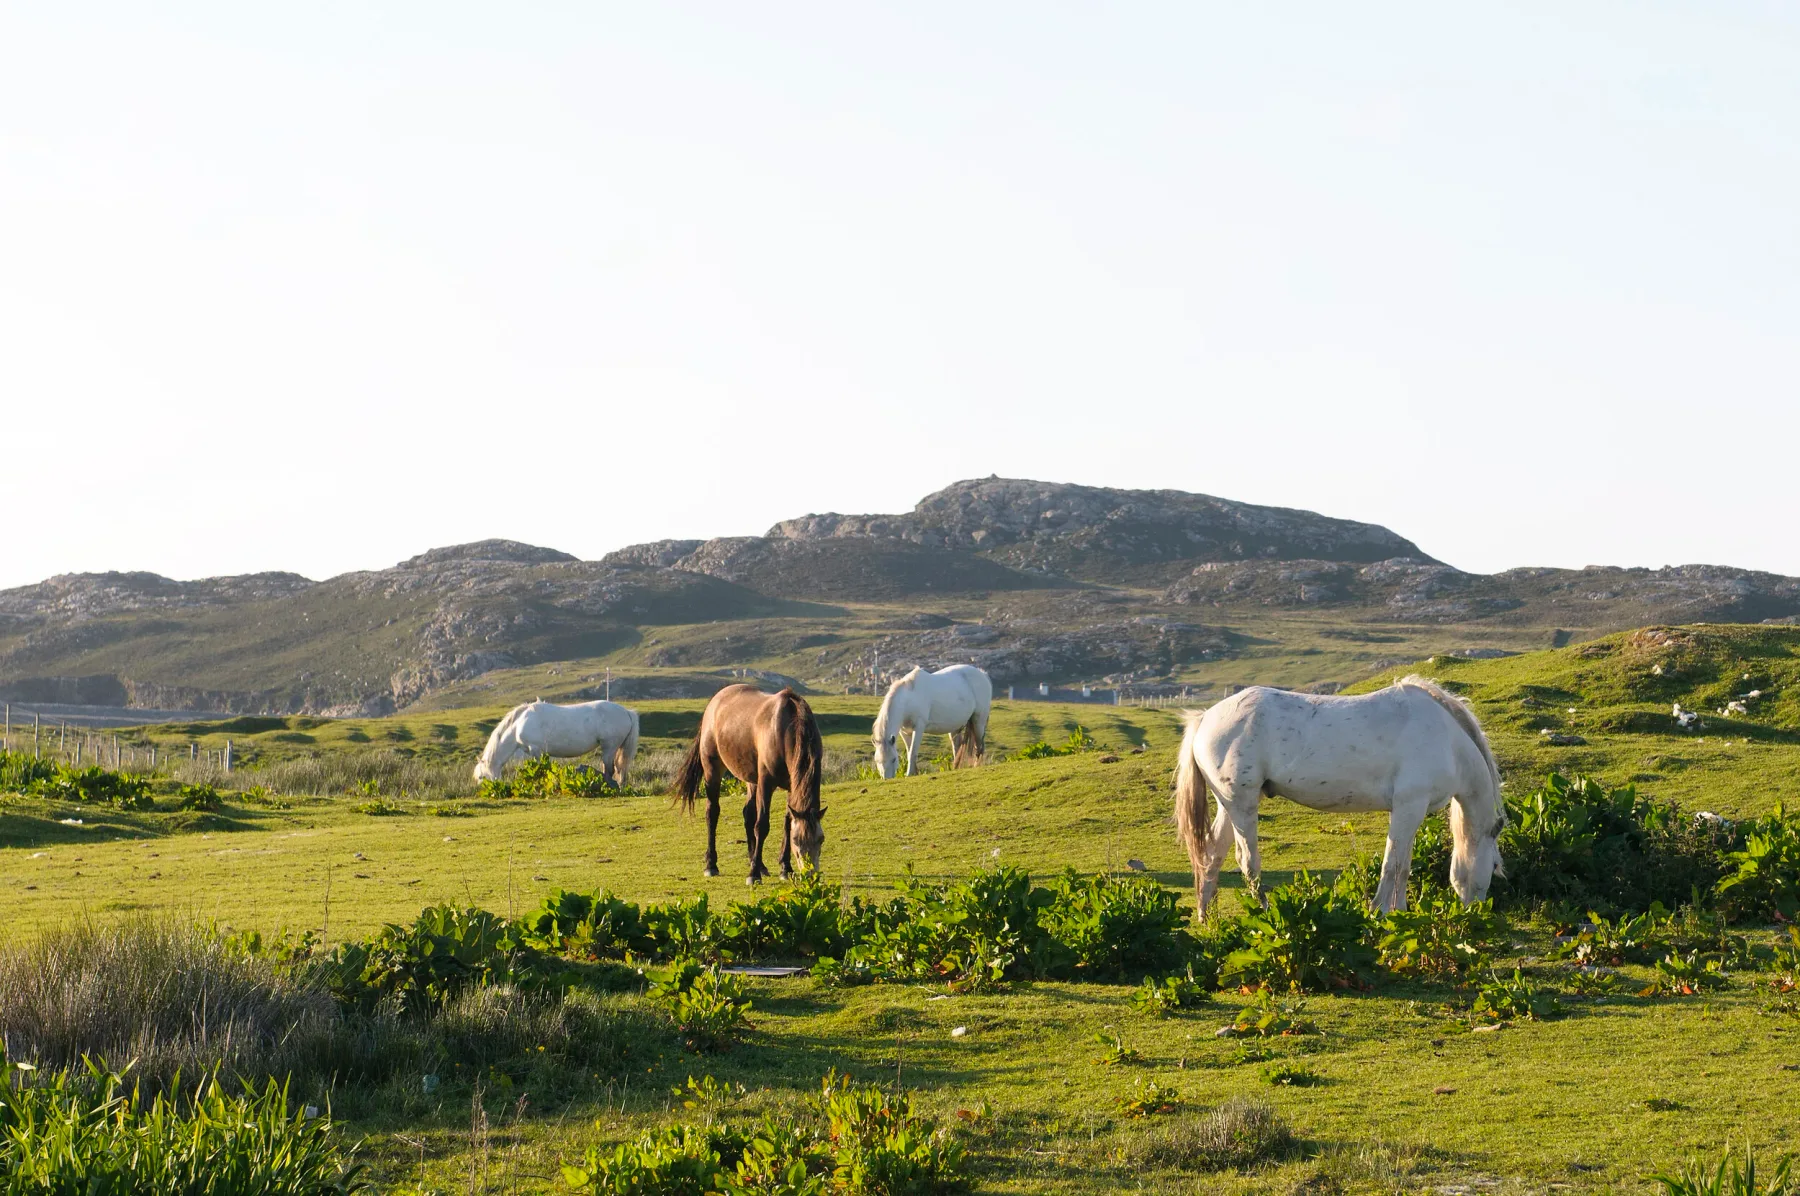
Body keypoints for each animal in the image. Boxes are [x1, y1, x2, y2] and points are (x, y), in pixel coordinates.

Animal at [472, 699, 640, 784]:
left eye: (481, 777)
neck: (518, 724)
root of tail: (627, 712)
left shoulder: (535, 749)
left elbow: (540, 770)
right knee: (619, 770)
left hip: (609, 747)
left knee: (610, 770)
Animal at [673, 685, 826, 883]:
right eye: (796, 840)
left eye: (821, 839)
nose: (810, 875)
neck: (785, 728)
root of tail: (715, 701)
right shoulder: (766, 784)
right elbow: (762, 826)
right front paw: (753, 875)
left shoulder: (791, 786)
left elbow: (786, 823)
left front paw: (785, 868)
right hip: (713, 770)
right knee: (712, 813)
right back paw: (712, 865)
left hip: (751, 780)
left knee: (747, 814)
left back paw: (759, 864)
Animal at [1172, 675, 1505, 917]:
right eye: (1494, 867)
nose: (1476, 911)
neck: (1447, 741)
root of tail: (1204, 718)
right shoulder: (1408, 807)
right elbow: (1394, 864)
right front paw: (1381, 911)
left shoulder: (1412, 812)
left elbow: (1403, 863)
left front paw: (1399, 912)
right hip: (1242, 805)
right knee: (1247, 861)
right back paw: (1265, 913)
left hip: (1228, 806)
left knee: (1212, 855)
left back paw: (1206, 916)